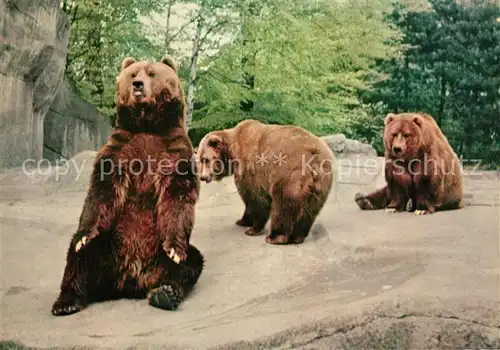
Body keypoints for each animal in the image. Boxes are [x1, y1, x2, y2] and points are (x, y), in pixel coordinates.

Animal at [51, 55, 204, 318]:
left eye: (151, 73)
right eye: (133, 74)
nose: (138, 85)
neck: (147, 125)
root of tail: (130, 281)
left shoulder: (175, 151)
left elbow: (177, 196)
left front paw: (174, 249)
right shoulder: (119, 150)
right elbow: (102, 192)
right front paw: (85, 234)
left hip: (159, 254)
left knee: (190, 263)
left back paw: (166, 293)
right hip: (108, 246)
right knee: (79, 257)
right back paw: (67, 301)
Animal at [195, 119, 336, 245]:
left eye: (205, 159)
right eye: (199, 159)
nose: (202, 177)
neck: (232, 153)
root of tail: (314, 159)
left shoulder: (251, 169)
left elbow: (255, 198)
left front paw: (251, 228)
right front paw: (241, 221)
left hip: (289, 175)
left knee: (282, 205)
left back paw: (275, 237)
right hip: (322, 182)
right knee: (310, 210)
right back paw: (298, 236)